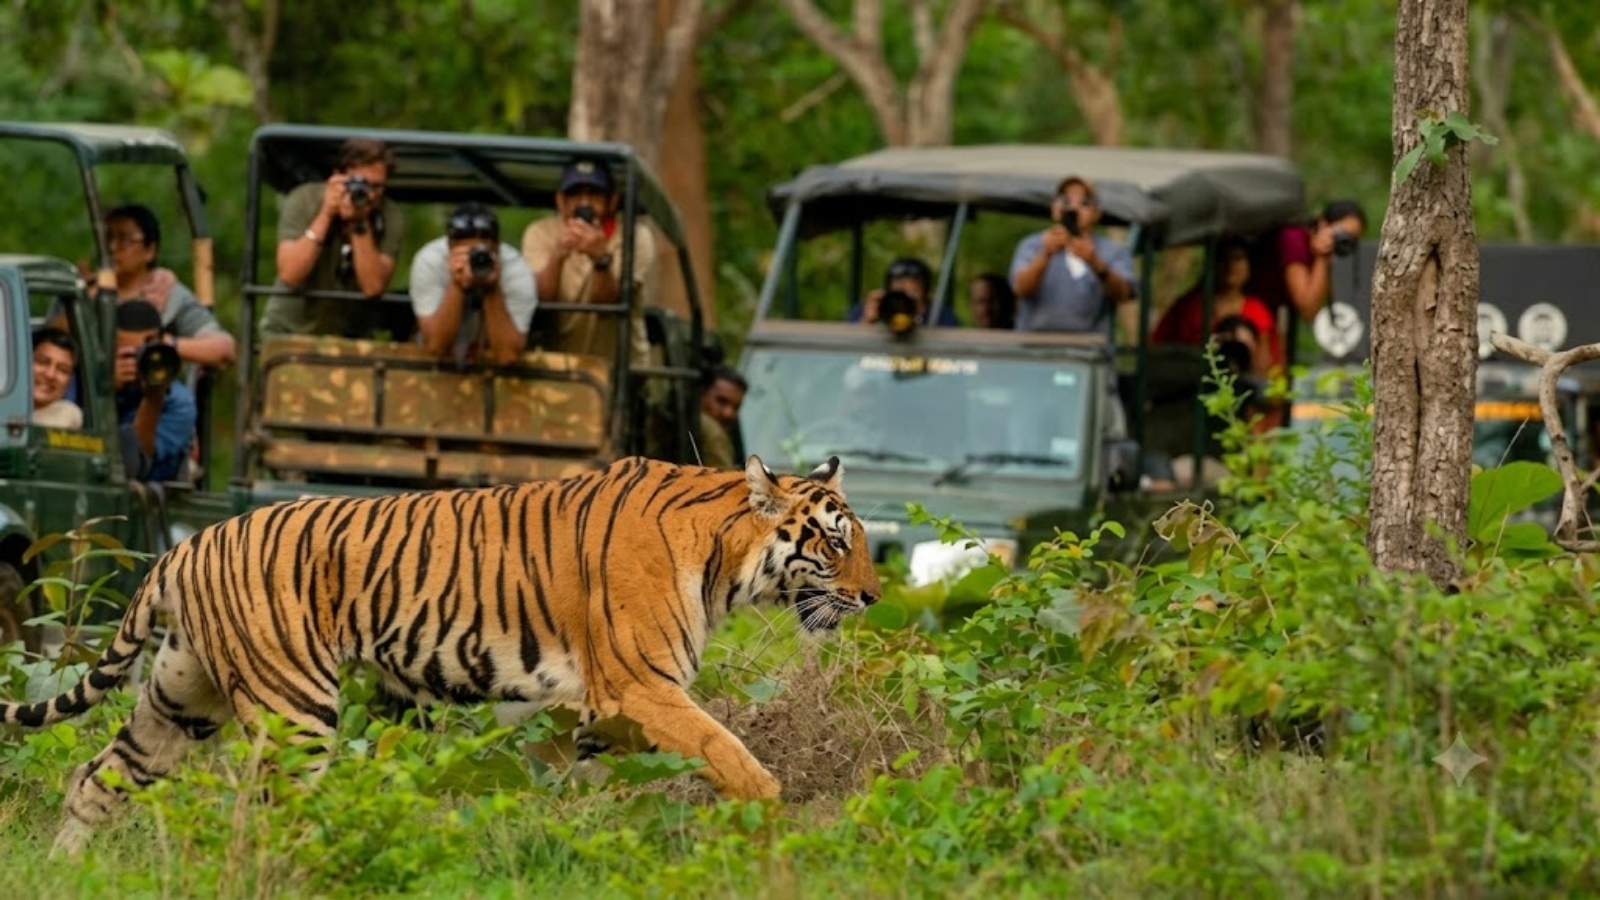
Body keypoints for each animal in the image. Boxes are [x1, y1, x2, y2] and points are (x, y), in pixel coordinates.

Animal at [0, 454, 880, 858]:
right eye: (836, 544)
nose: (874, 597)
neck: (725, 558)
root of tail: (184, 548)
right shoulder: (640, 685)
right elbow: (725, 750)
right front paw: (773, 822)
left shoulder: (583, 710)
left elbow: (582, 791)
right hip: (293, 711)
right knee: (268, 814)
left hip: (183, 697)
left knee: (95, 779)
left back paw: (69, 870)